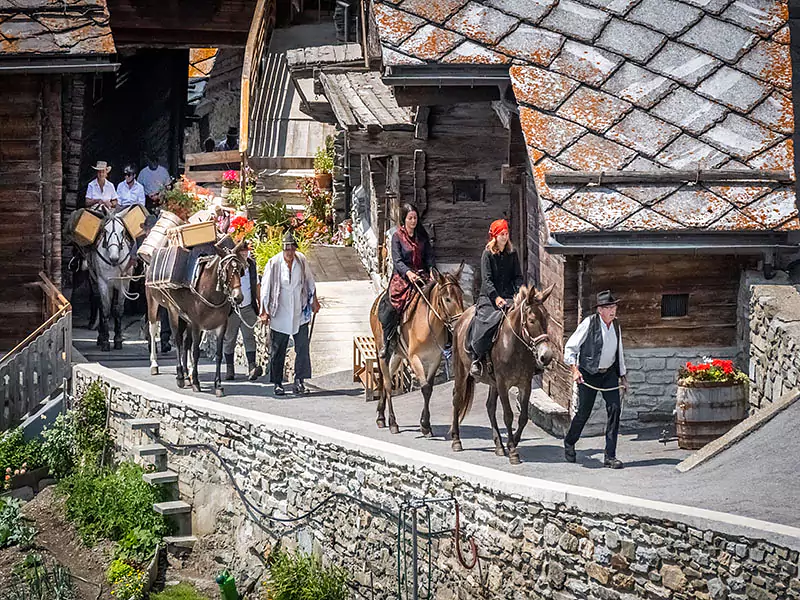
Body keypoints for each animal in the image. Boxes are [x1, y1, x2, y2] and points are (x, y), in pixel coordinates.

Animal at [87, 213, 134, 352]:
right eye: (105, 231)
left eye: (122, 231)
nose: (114, 258)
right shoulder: (103, 283)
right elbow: (105, 310)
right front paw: (106, 341)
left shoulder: (124, 283)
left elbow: (118, 310)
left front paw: (118, 340)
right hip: (94, 281)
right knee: (99, 304)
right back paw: (100, 337)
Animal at [372, 268, 466, 436]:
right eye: (447, 299)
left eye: (461, 296)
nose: (458, 324)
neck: (428, 325)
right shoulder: (414, 358)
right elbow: (425, 387)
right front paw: (425, 425)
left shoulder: (435, 359)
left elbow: (429, 388)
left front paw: (425, 424)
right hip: (383, 352)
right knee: (388, 384)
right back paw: (392, 422)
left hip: (397, 355)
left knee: (385, 381)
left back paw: (381, 417)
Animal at [450, 284, 556, 464]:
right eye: (531, 320)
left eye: (547, 318)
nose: (546, 356)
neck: (514, 345)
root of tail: (461, 318)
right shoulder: (503, 383)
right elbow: (508, 415)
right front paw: (513, 451)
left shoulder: (525, 384)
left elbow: (523, 417)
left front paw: (511, 443)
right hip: (461, 372)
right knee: (457, 399)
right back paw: (456, 441)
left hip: (492, 382)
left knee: (490, 407)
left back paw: (499, 445)